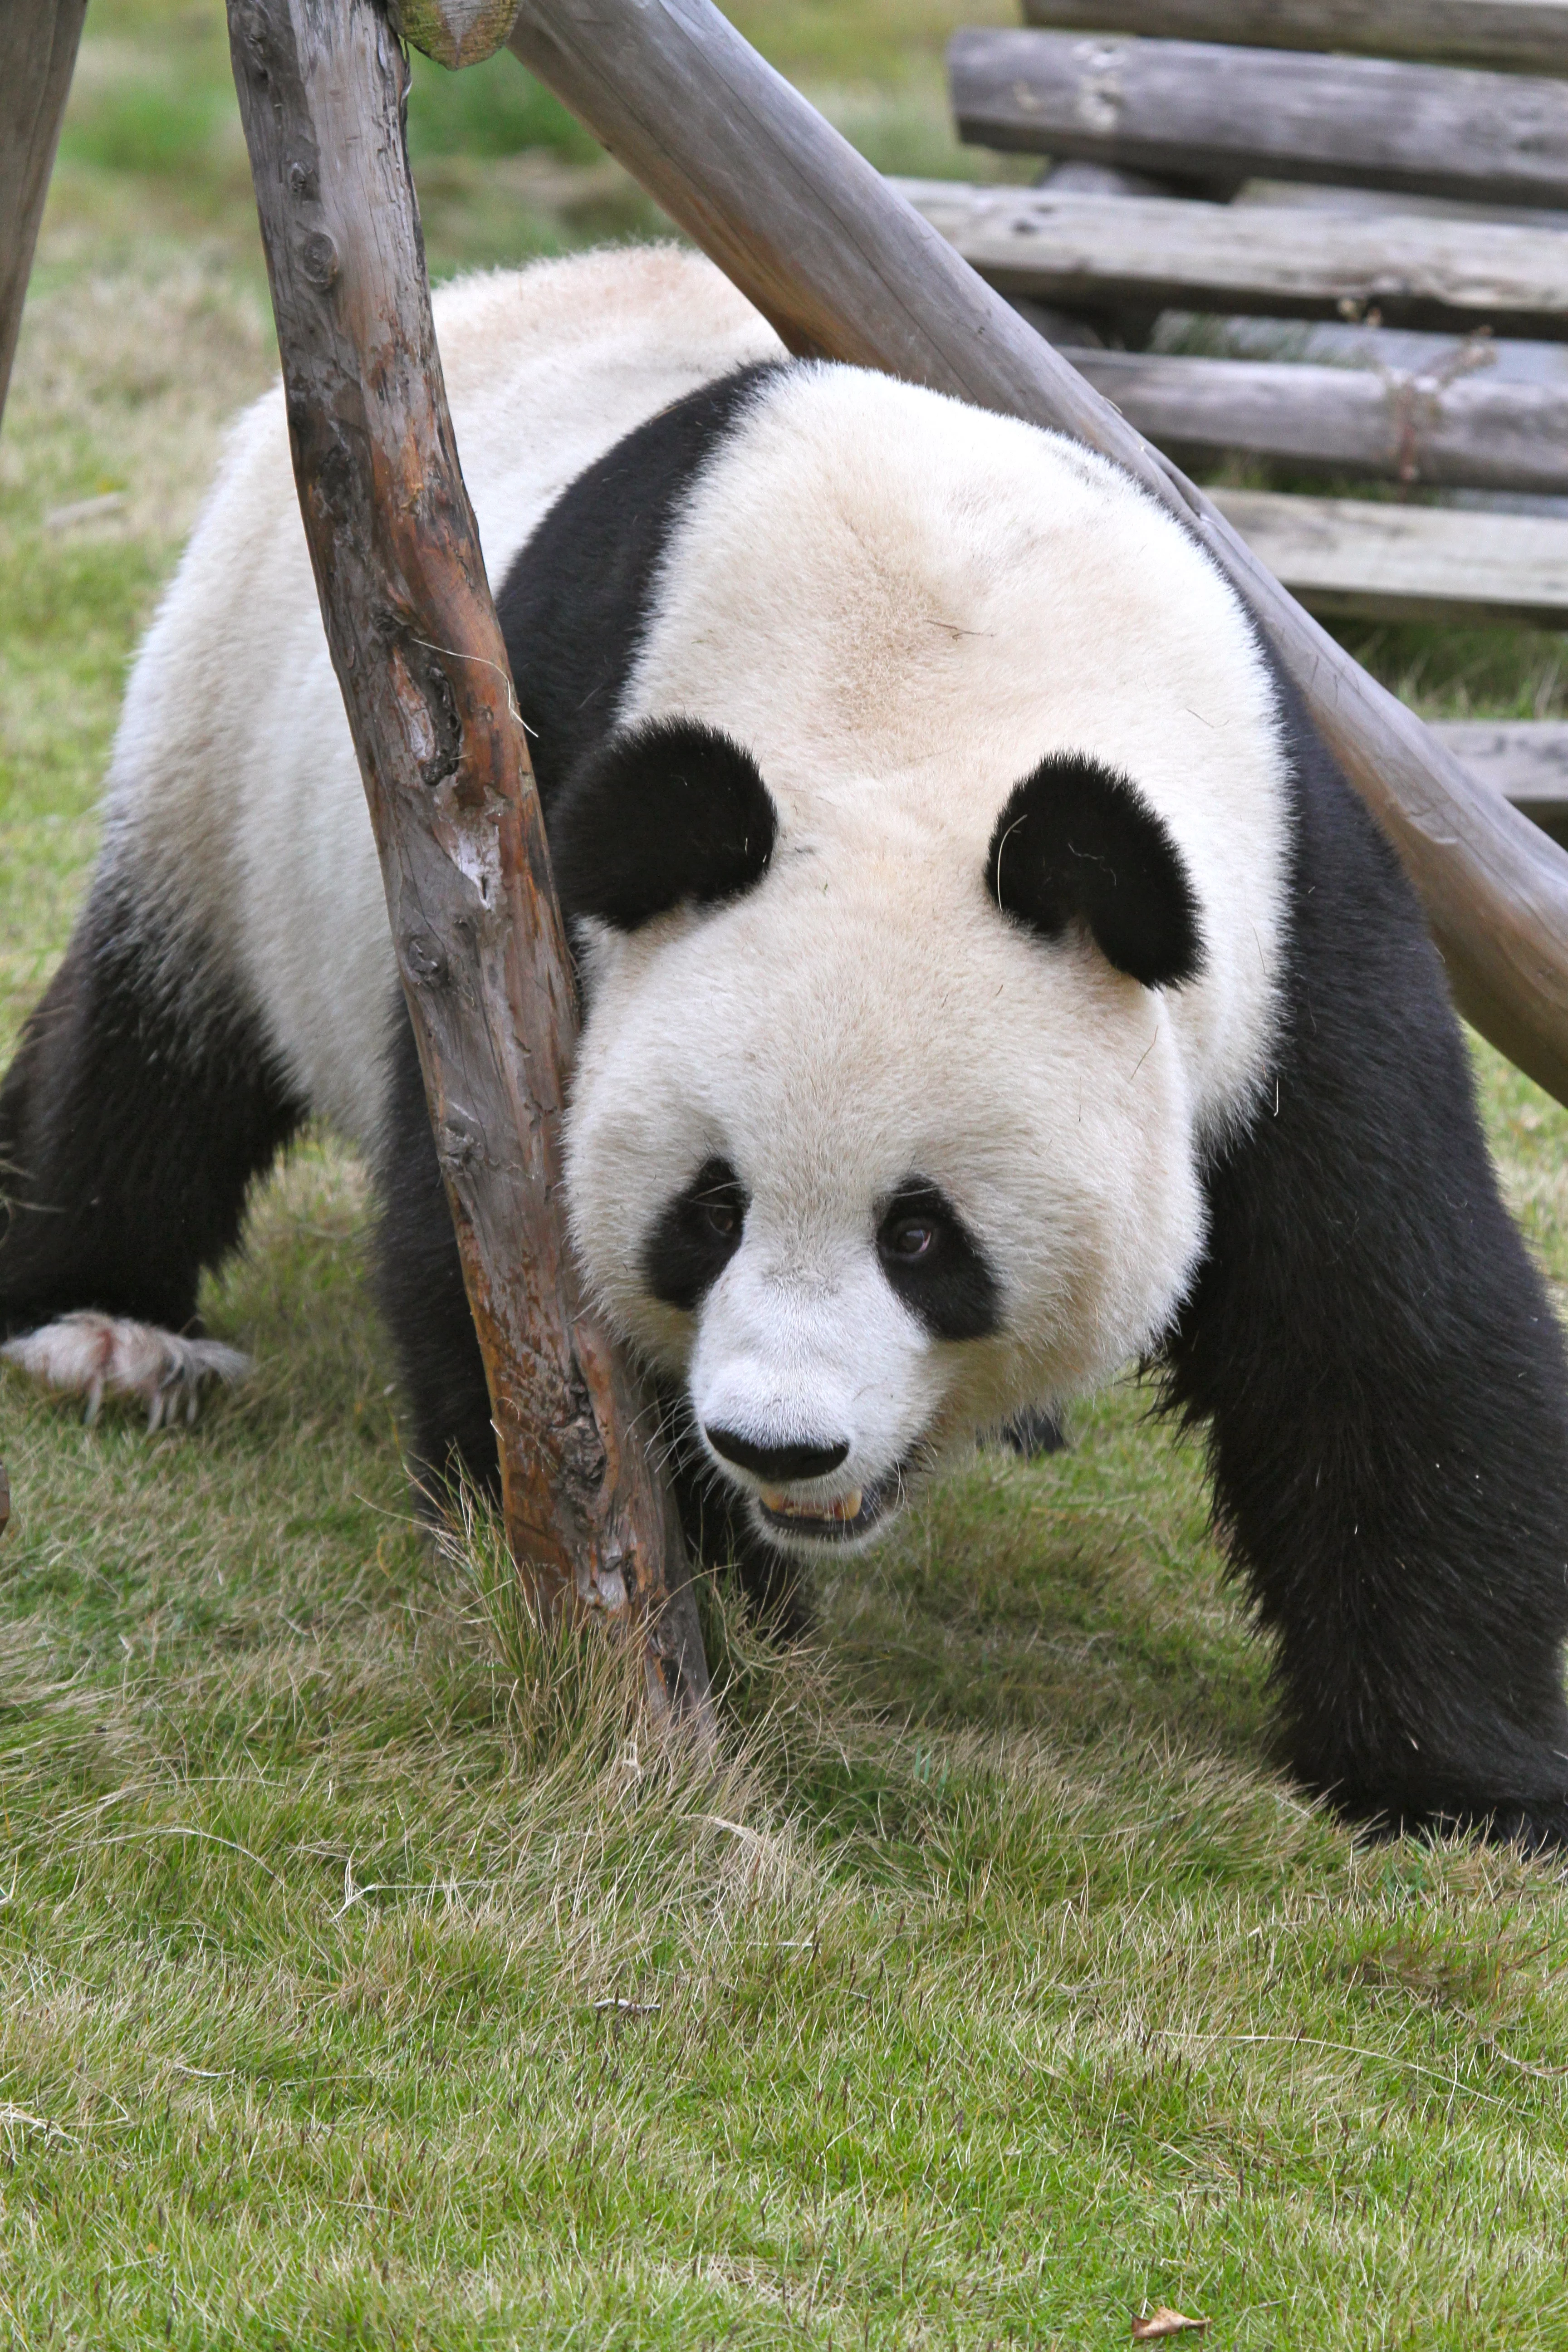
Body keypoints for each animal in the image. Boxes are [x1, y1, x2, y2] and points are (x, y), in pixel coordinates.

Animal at [3, 245, 1567, 1845]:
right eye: (710, 1211)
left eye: (925, 1238)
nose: (781, 1447)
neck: (944, 686)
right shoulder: (539, 825)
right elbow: (491, 1254)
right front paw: (727, 1621)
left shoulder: (1283, 920)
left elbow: (1382, 1323)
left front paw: (1455, 1785)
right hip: (234, 735)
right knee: (158, 1039)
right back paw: (105, 1325)